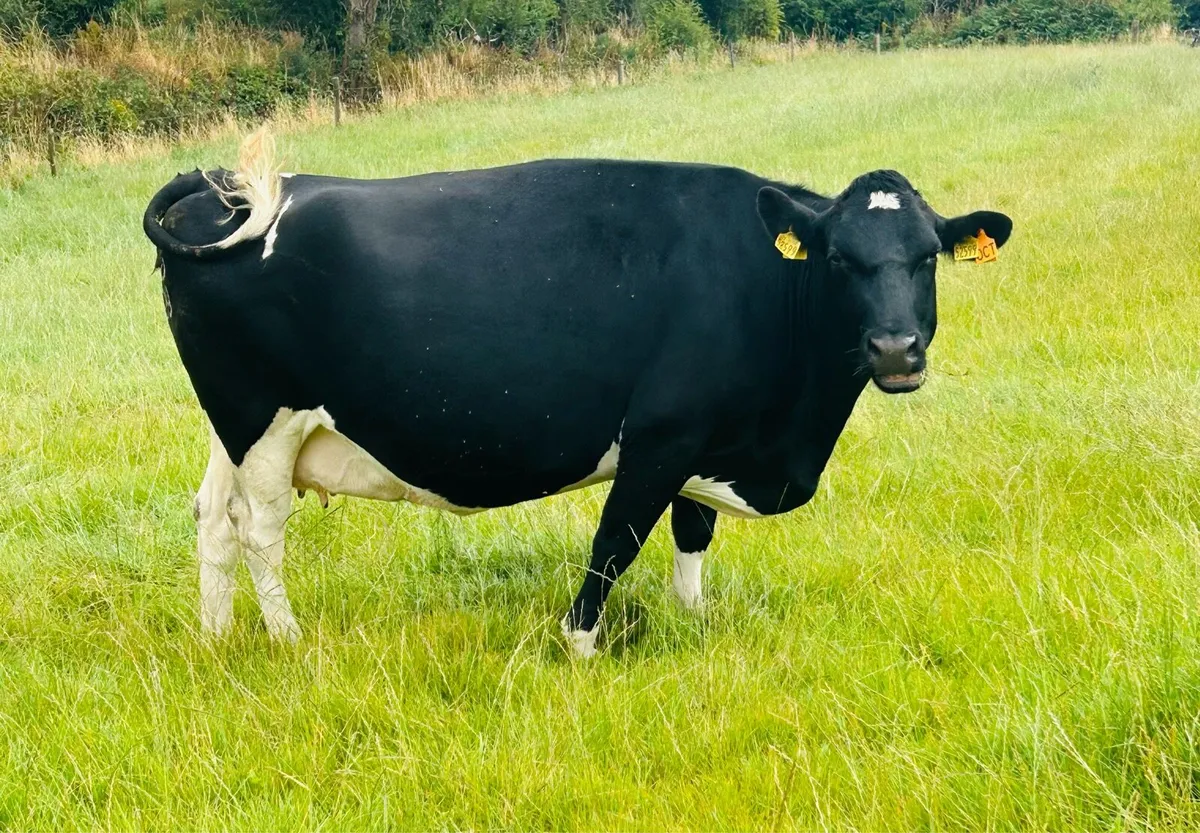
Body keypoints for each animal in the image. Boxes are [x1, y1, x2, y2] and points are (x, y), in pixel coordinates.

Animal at [143, 130, 1012, 657]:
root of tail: (216, 188)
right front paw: (580, 644)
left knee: (213, 517)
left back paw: (218, 640)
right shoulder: (662, 435)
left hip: (231, 426)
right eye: (837, 258)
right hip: (264, 418)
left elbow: (692, 533)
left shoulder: (708, 439)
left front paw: (694, 621)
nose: (895, 348)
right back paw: (288, 640)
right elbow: (614, 541)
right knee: (260, 528)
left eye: (927, 256)